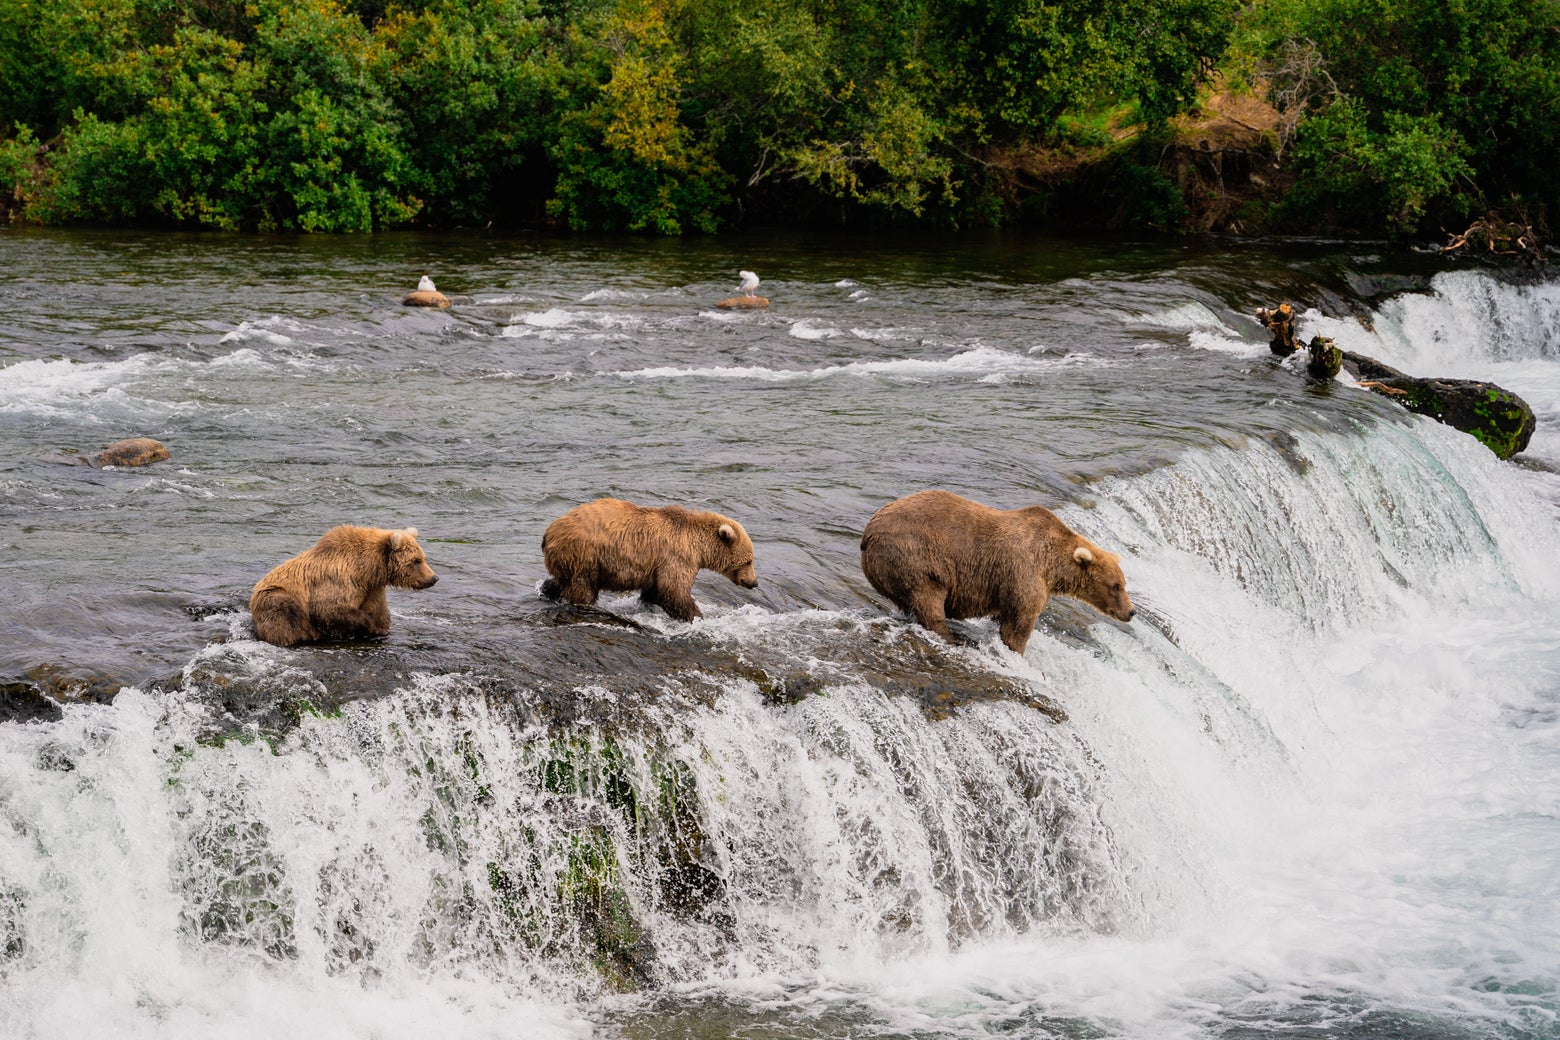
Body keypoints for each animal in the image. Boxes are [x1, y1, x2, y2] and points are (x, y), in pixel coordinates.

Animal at [249, 525, 438, 647]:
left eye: (423, 557)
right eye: (416, 560)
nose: (434, 578)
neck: (369, 569)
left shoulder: (373, 588)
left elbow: (379, 612)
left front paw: (379, 628)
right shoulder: (340, 579)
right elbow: (329, 607)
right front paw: (367, 624)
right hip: (276, 596)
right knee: (283, 614)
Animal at [539, 498, 758, 622]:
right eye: (748, 561)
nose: (753, 583)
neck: (698, 546)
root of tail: (550, 531)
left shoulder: (657, 566)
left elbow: (656, 591)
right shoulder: (677, 557)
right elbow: (674, 590)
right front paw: (696, 616)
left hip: (567, 559)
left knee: (561, 580)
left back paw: (548, 590)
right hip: (586, 555)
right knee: (583, 587)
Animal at [859, 489, 1134, 654]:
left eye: (1123, 583)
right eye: (1116, 585)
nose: (1131, 612)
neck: (1053, 567)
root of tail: (867, 534)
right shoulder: (1023, 572)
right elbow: (1019, 623)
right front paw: (1018, 652)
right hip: (915, 556)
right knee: (928, 597)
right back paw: (952, 636)